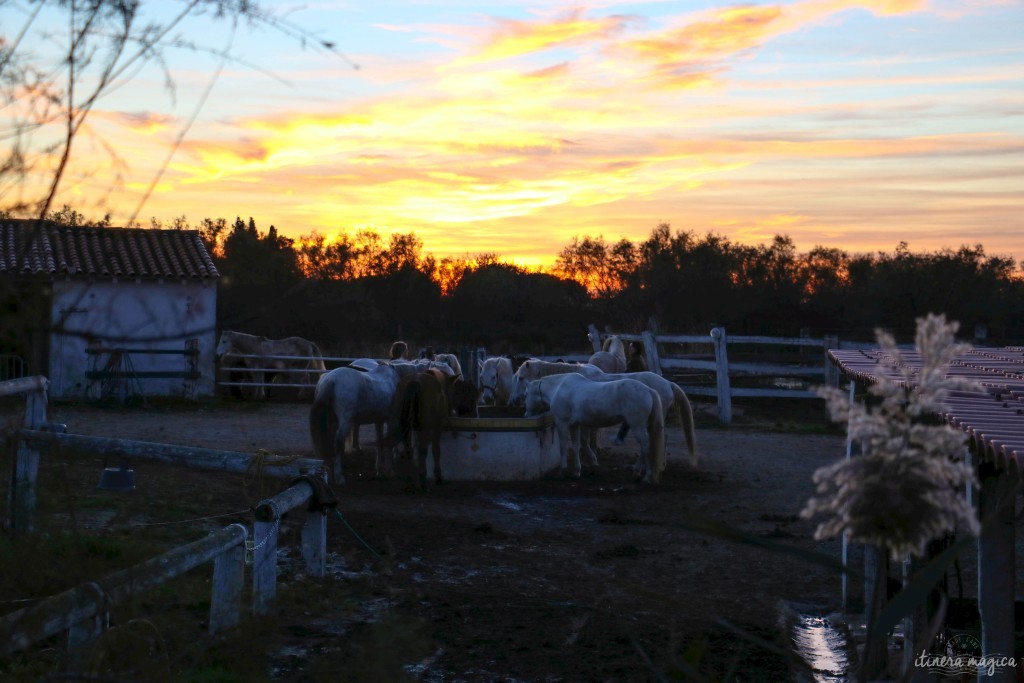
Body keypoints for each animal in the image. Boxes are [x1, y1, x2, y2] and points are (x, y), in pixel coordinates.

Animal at [524, 370, 667, 483]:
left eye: (526, 395)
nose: (525, 414)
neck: (559, 388)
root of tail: (648, 390)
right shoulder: (574, 425)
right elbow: (575, 446)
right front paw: (576, 471)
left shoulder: (562, 423)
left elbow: (563, 446)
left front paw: (562, 471)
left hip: (637, 426)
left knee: (645, 446)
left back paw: (642, 474)